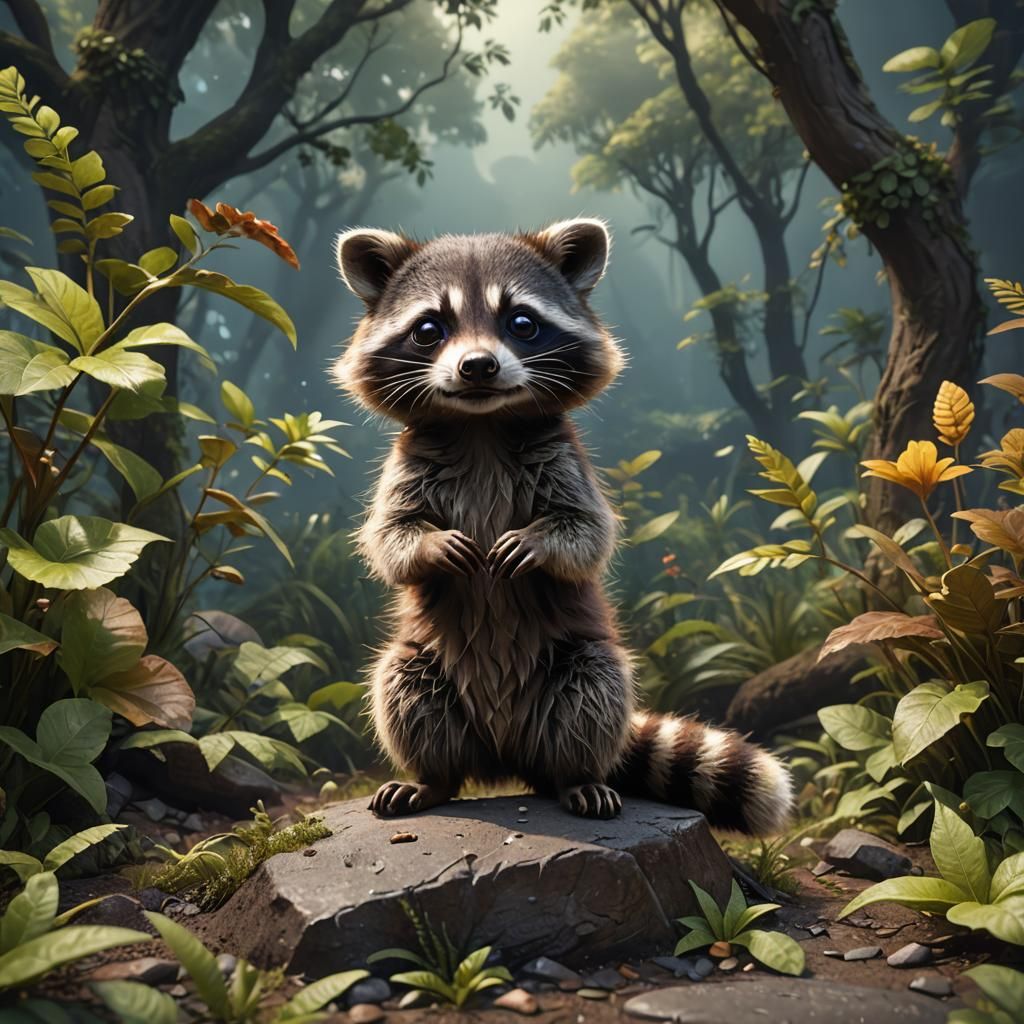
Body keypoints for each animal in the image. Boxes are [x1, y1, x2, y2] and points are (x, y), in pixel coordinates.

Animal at [333, 218, 793, 832]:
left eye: (522, 323)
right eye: (429, 329)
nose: (478, 366)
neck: (481, 425)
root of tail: (505, 758)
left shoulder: (565, 457)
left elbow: (589, 532)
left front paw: (538, 543)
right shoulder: (408, 463)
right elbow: (389, 536)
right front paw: (432, 546)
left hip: (576, 664)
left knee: (595, 690)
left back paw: (576, 776)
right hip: (424, 664)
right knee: (402, 687)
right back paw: (433, 779)